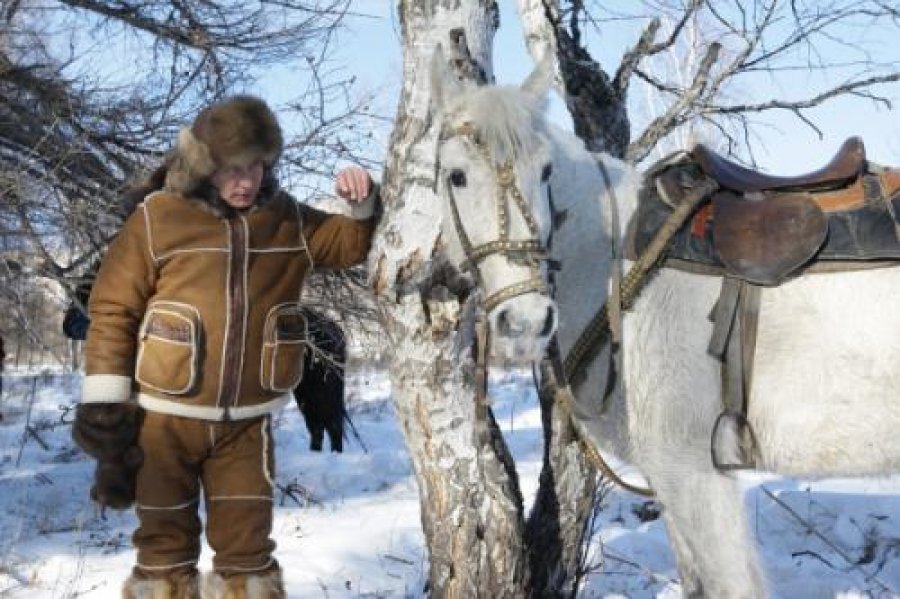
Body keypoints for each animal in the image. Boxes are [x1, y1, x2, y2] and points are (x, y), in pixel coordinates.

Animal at [63, 284, 350, 450]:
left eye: (87, 291)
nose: (67, 324)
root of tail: (336, 332)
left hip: (322, 391)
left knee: (331, 426)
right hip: (308, 394)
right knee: (319, 427)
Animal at [428, 52, 900, 599]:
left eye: (545, 171)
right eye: (456, 175)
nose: (525, 321)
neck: (614, 263)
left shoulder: (692, 473)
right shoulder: (671, 478)